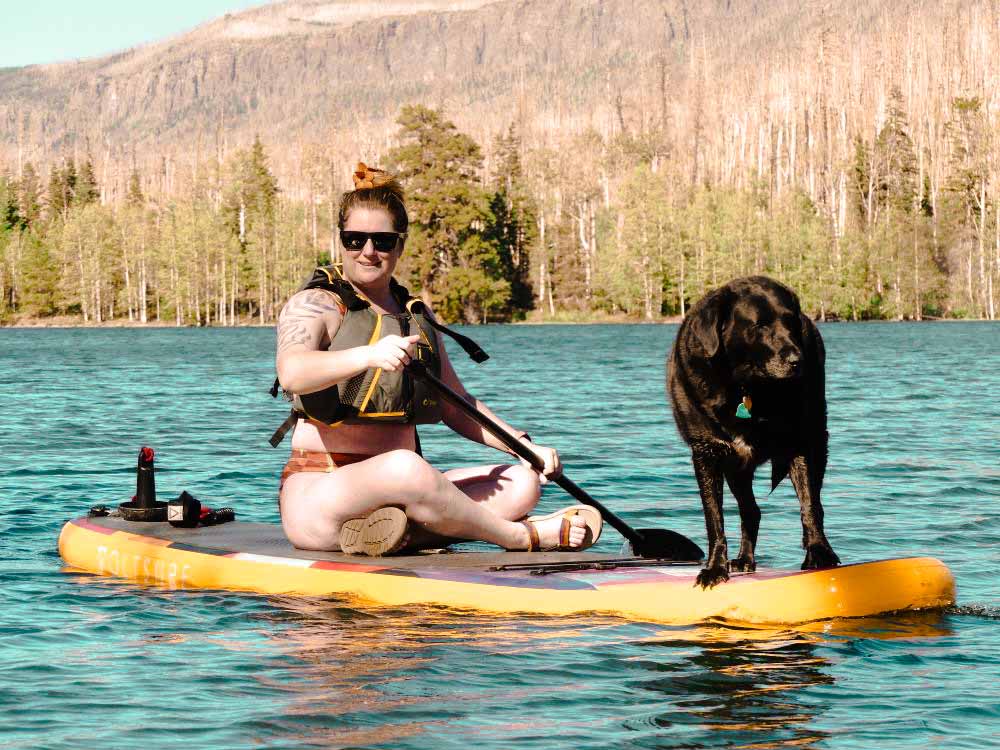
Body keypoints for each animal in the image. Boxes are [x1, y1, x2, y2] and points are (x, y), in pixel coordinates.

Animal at [668, 280, 840, 592]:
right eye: (760, 325)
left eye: (790, 321)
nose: (798, 360)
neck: (746, 388)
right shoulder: (707, 453)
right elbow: (714, 518)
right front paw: (715, 568)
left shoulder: (799, 445)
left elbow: (809, 506)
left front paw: (819, 554)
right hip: (737, 469)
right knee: (751, 511)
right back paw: (744, 559)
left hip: (817, 441)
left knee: (813, 503)